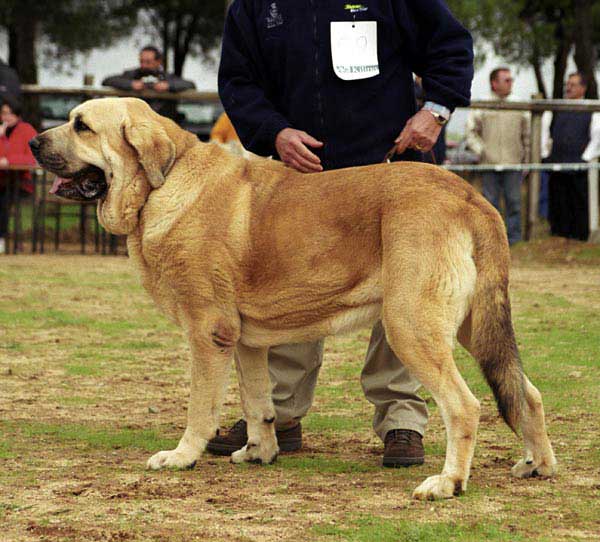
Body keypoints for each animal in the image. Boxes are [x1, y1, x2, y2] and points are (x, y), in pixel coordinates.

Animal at [30, 98, 556, 502]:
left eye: (81, 125)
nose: (34, 142)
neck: (164, 182)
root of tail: (471, 197)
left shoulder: (207, 333)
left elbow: (201, 407)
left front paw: (181, 456)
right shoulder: (243, 340)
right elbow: (258, 402)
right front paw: (259, 451)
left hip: (410, 325)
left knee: (464, 406)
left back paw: (447, 482)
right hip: (475, 326)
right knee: (527, 392)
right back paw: (537, 464)